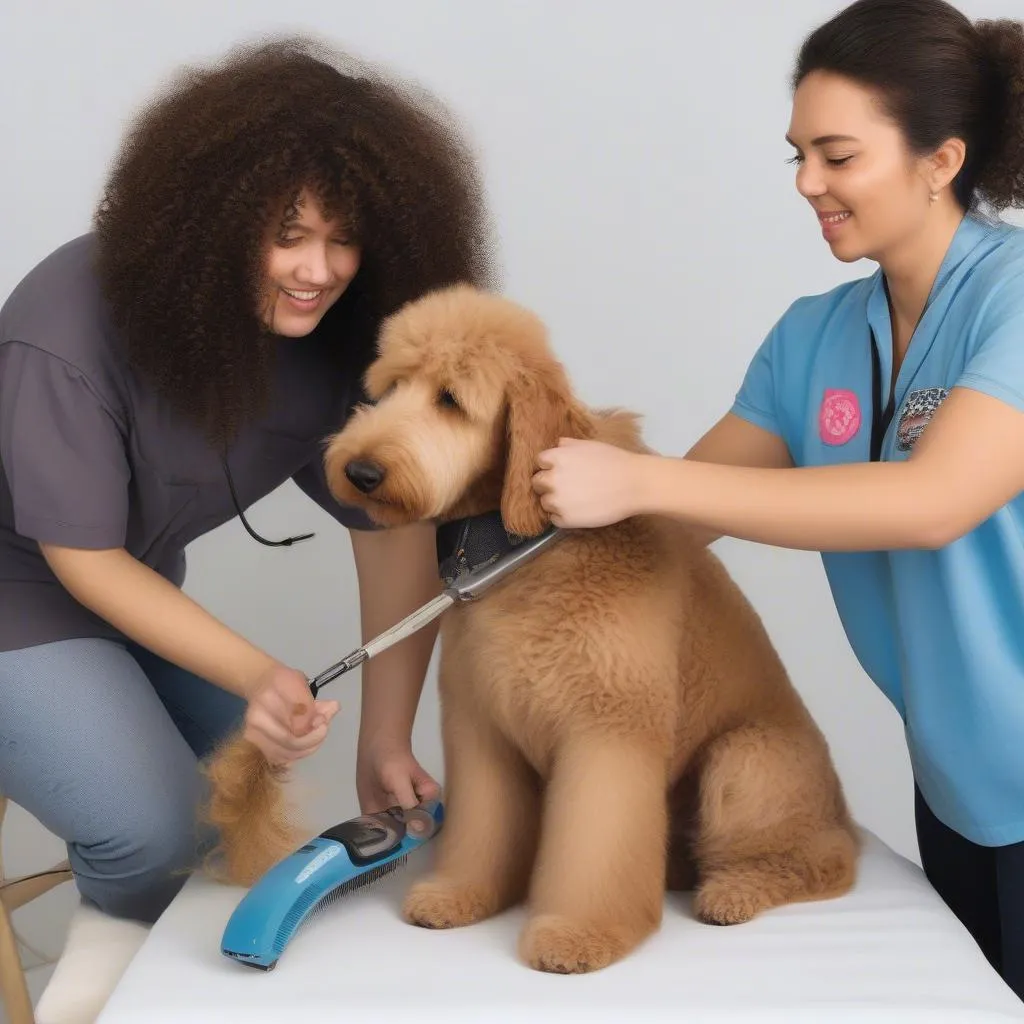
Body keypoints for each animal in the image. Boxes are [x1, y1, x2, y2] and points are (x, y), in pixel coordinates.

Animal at [199, 284, 856, 970]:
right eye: (391, 387)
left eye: (450, 399)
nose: (359, 472)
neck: (511, 554)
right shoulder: (481, 731)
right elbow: (483, 829)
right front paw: (461, 895)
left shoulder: (607, 735)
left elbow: (595, 848)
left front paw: (579, 933)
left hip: (744, 763)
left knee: (824, 860)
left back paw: (735, 889)